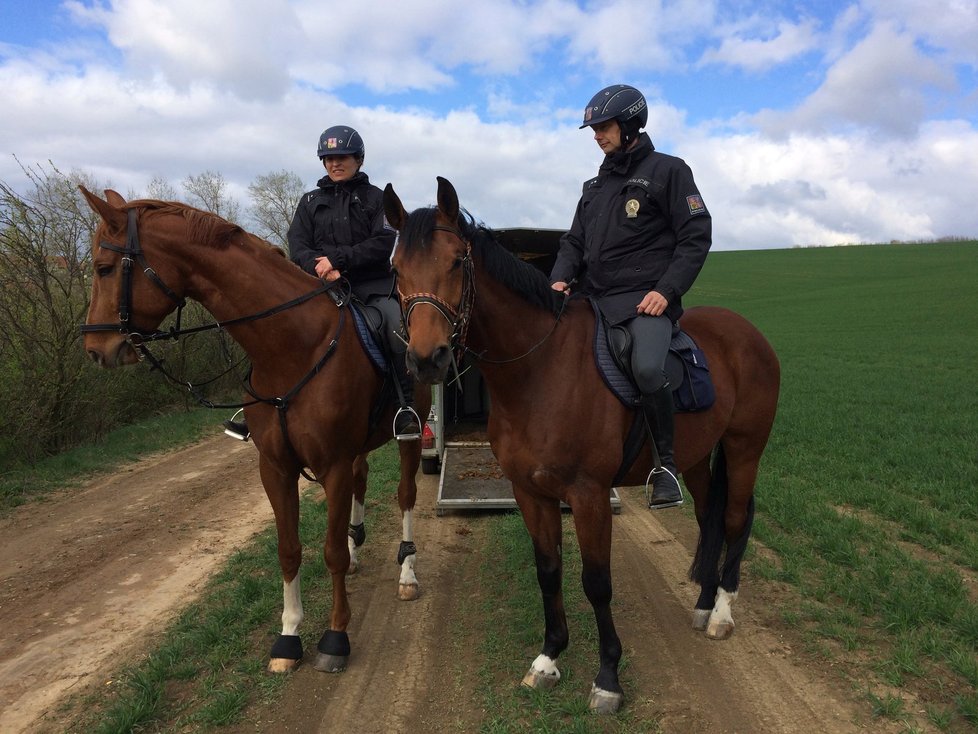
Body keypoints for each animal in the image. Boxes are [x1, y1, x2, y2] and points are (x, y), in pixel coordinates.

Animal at [82, 188, 432, 680]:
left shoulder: (332, 466)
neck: (292, 345)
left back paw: (407, 573)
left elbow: (330, 553)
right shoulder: (276, 468)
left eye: (104, 268)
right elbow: (288, 550)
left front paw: (335, 637)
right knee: (363, 483)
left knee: (405, 496)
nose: (96, 350)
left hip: (408, 437)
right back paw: (358, 544)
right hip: (356, 451)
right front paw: (288, 637)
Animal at [382, 177, 776, 712]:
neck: (541, 369)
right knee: (706, 519)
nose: (427, 359)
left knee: (734, 520)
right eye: (396, 269)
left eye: (457, 261)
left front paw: (608, 677)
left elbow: (597, 582)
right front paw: (548, 659)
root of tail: (746, 332)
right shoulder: (531, 493)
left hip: (744, 449)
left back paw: (721, 613)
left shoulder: (589, 496)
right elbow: (549, 570)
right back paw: (702, 604)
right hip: (696, 459)